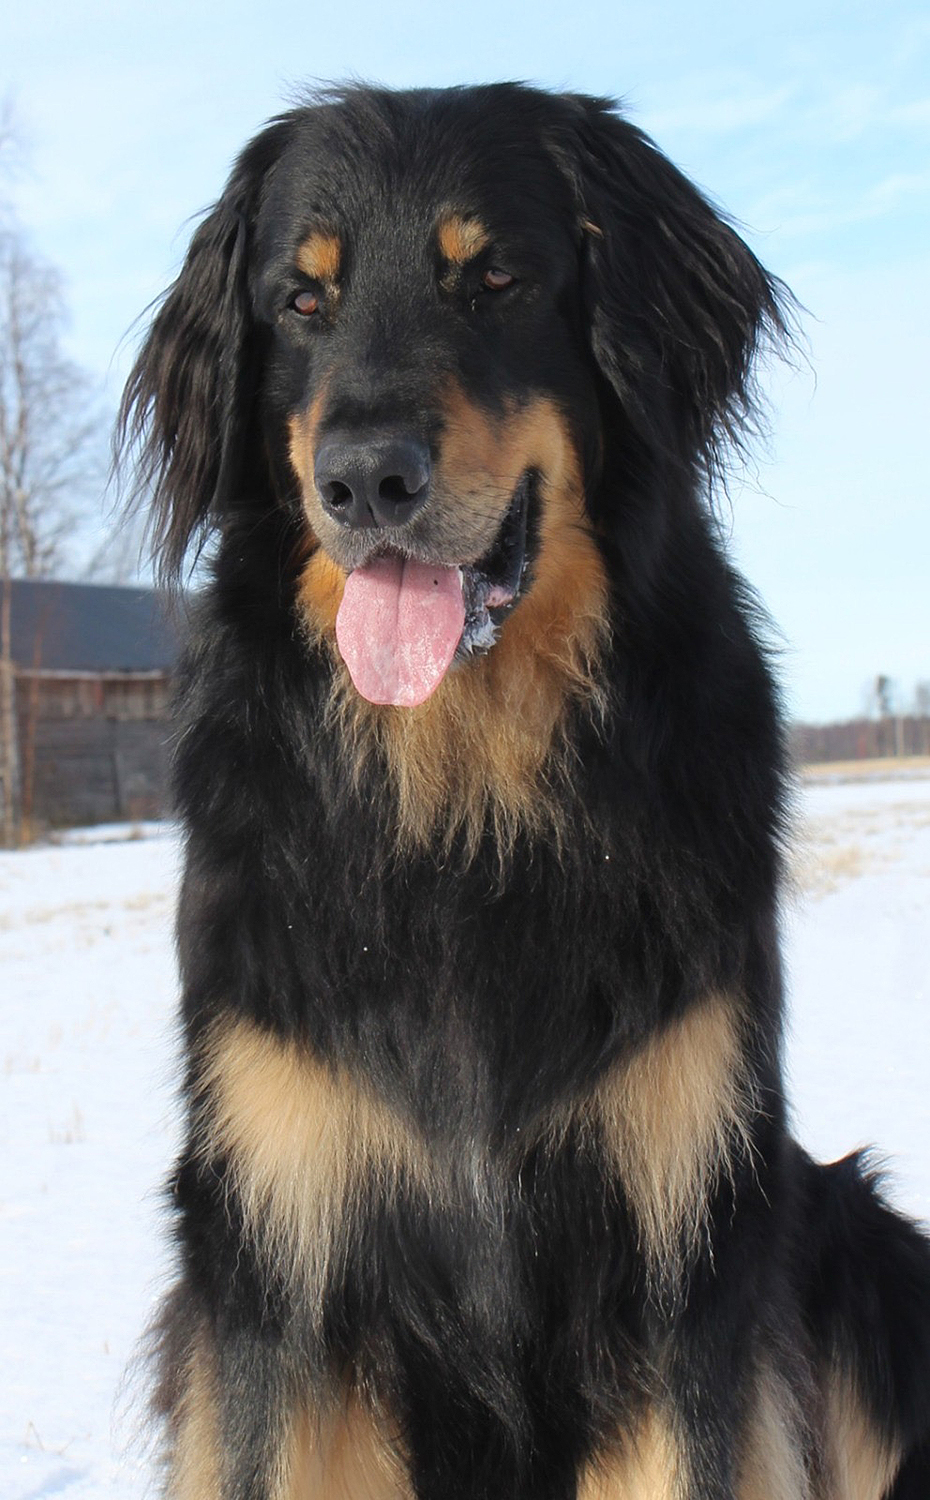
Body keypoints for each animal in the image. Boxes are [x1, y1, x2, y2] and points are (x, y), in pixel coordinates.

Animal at [120, 83, 930, 1498]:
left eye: (494, 277)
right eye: (302, 299)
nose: (365, 480)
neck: (463, 801)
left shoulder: (687, 1247)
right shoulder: (274, 1251)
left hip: (866, 1241)